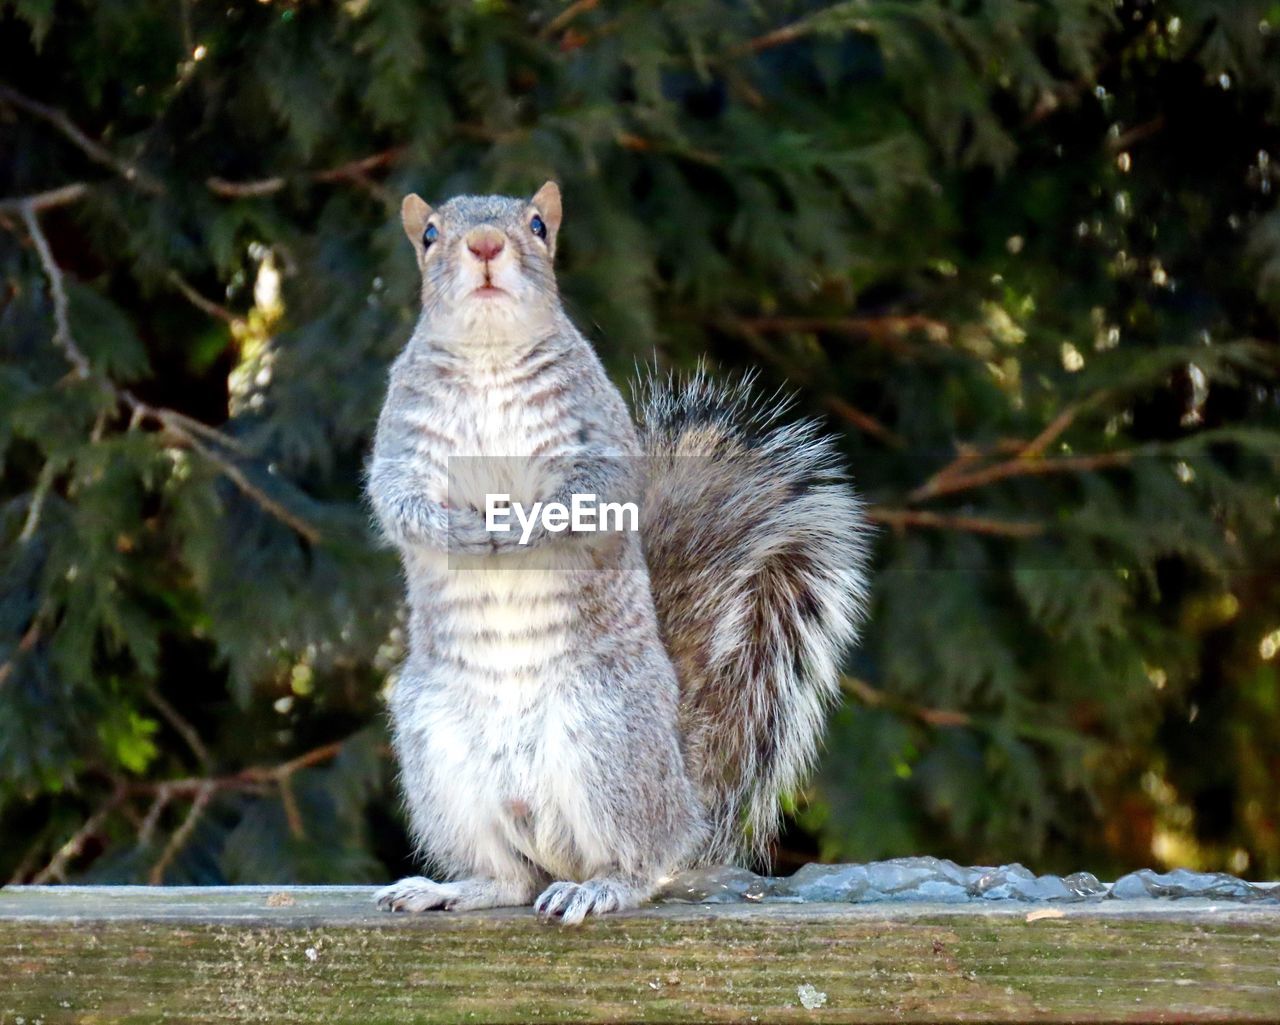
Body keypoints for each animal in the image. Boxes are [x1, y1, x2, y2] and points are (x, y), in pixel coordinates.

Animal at [366, 180, 875, 921]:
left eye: (539, 225)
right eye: (429, 234)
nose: (484, 246)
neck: (488, 353)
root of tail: (687, 804)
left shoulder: (594, 441)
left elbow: (589, 495)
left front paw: (521, 526)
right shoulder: (403, 441)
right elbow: (397, 498)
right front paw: (459, 531)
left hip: (609, 736)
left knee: (639, 862)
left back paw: (600, 887)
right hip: (439, 755)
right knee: (512, 878)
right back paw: (451, 887)